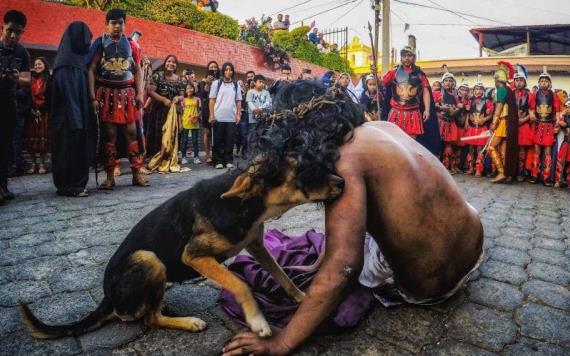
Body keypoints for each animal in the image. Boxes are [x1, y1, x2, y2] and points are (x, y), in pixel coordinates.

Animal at [18, 159, 342, 340]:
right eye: (305, 172)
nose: (342, 181)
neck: (244, 203)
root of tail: (108, 298)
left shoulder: (255, 244)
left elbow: (281, 274)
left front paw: (302, 297)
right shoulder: (194, 255)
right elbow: (239, 284)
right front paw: (258, 321)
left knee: (149, 310)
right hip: (149, 259)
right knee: (148, 319)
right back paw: (188, 322)